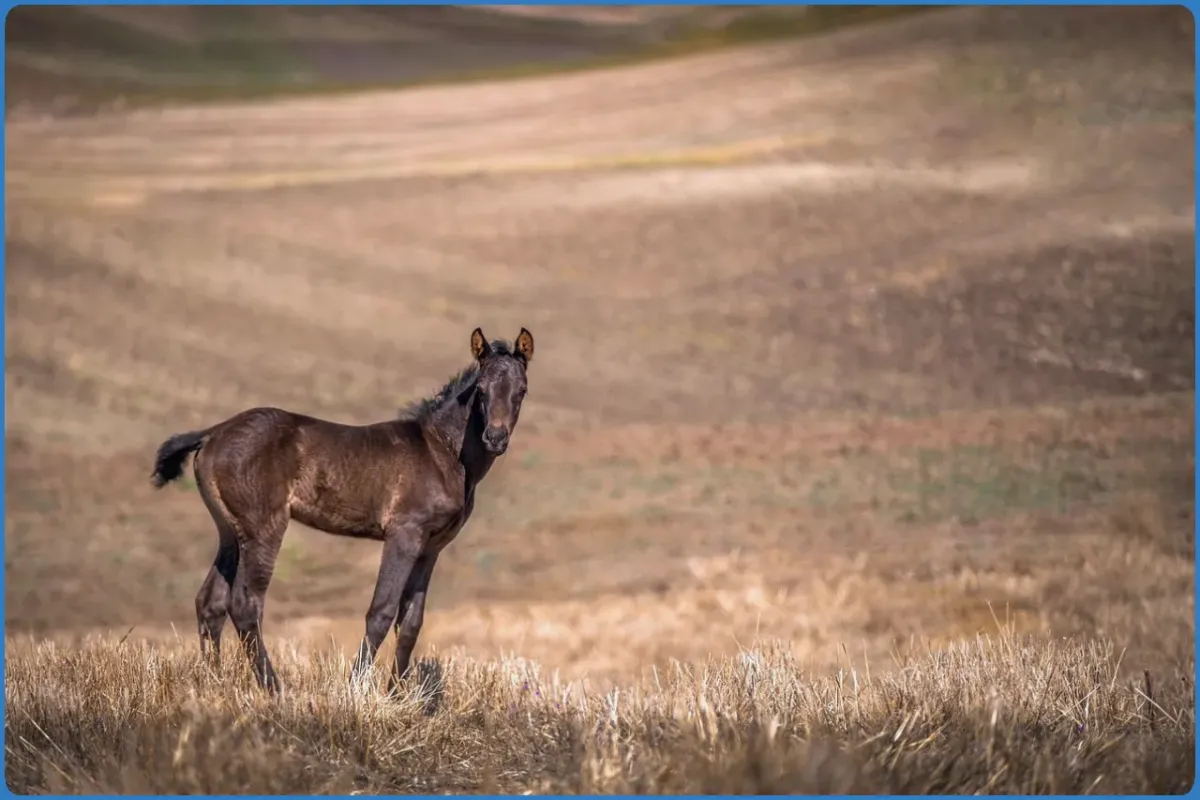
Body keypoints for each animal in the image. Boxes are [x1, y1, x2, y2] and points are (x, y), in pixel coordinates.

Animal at [150, 326, 534, 694]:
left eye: (522, 390)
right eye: (481, 390)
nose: (495, 438)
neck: (442, 452)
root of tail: (213, 433)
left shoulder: (431, 547)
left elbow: (411, 621)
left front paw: (398, 695)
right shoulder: (404, 535)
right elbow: (381, 612)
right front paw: (357, 690)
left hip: (230, 532)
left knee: (211, 601)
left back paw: (211, 681)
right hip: (263, 528)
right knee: (244, 603)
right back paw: (274, 688)